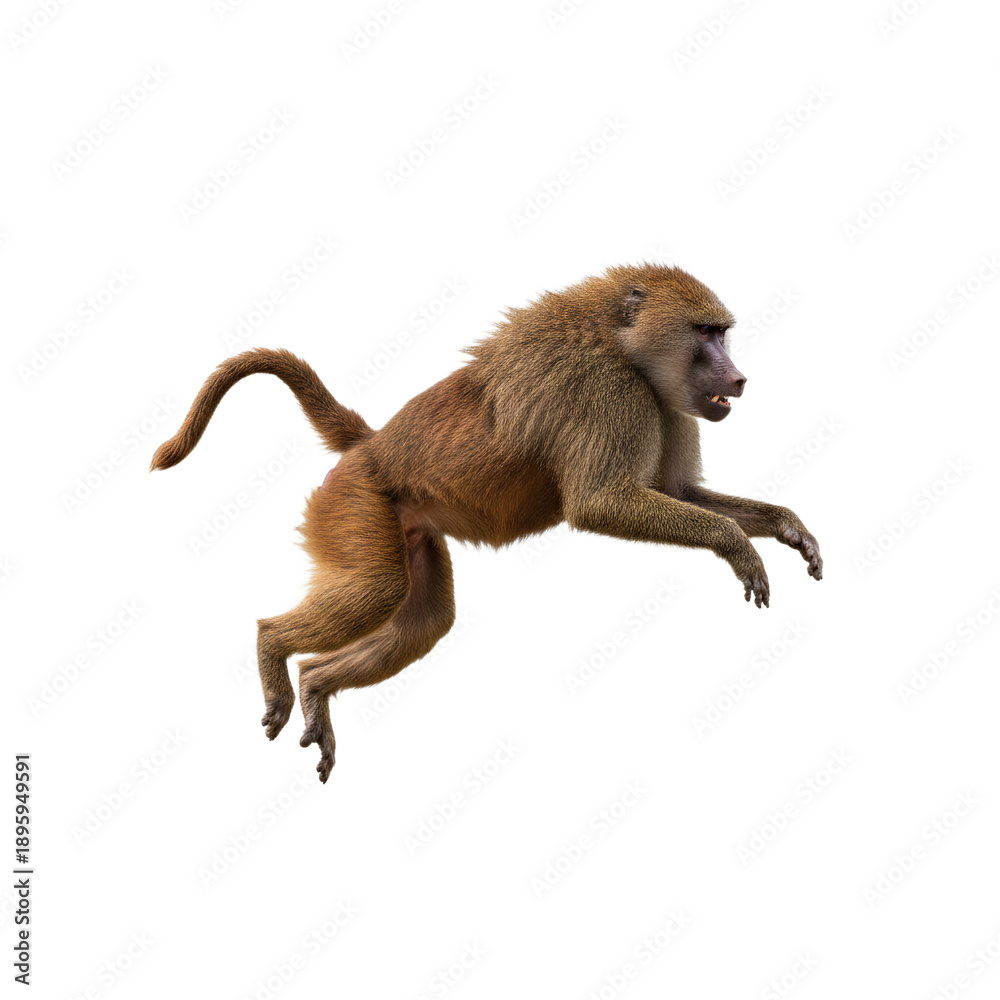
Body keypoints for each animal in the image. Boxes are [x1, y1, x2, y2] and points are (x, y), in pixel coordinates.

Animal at [151, 262, 822, 782]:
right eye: (705, 333)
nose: (738, 378)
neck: (621, 344)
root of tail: (373, 445)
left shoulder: (669, 405)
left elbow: (677, 492)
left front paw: (788, 528)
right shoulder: (611, 394)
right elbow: (601, 503)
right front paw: (740, 548)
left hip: (400, 523)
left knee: (424, 619)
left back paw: (315, 685)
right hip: (355, 501)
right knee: (377, 591)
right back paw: (273, 648)